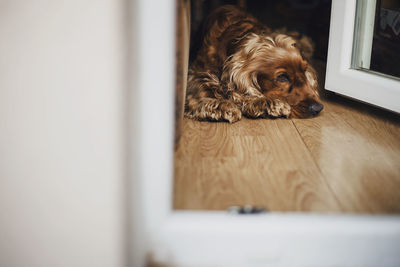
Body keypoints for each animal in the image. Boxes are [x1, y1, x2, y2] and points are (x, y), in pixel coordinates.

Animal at [184, 5, 322, 123]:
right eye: (282, 77)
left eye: (304, 71)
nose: (318, 108)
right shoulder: (196, 72)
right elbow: (199, 90)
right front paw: (221, 105)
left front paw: (264, 102)